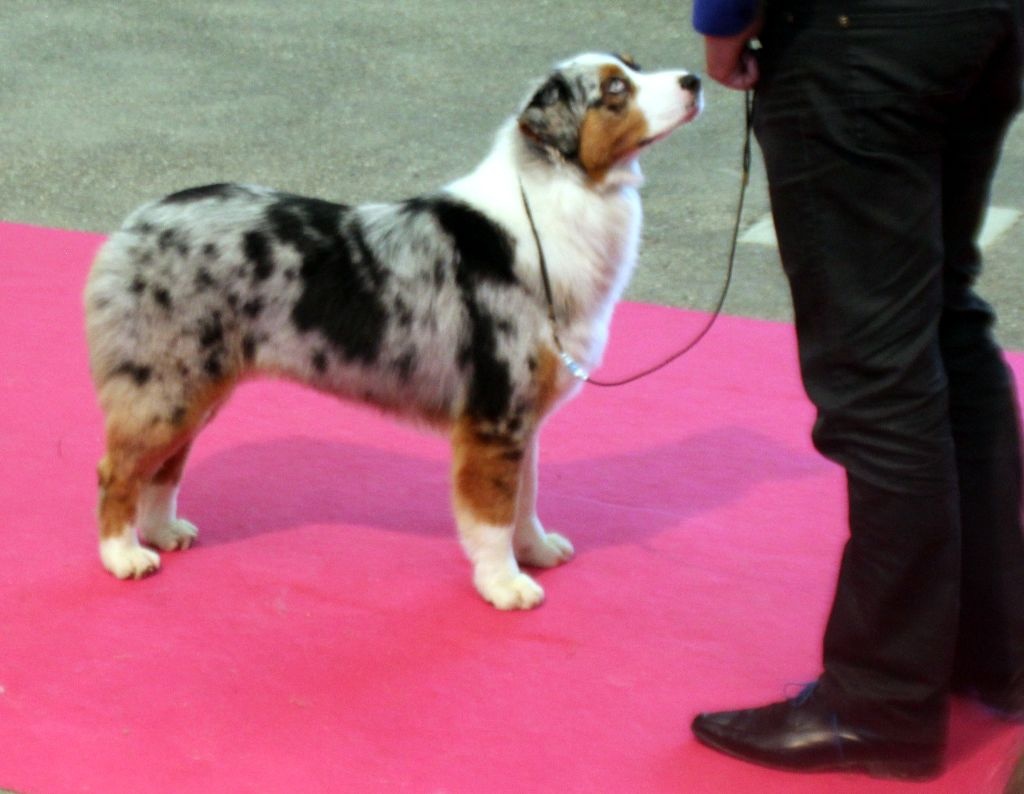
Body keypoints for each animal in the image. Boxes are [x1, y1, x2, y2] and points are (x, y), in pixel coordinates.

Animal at [83, 52, 700, 610]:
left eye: (633, 66)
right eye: (616, 89)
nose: (694, 79)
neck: (552, 212)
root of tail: (135, 223)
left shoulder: (523, 417)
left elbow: (525, 499)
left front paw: (538, 551)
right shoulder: (494, 417)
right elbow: (493, 515)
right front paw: (505, 586)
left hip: (196, 386)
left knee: (162, 468)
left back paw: (164, 533)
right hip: (167, 384)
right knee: (117, 469)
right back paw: (123, 557)